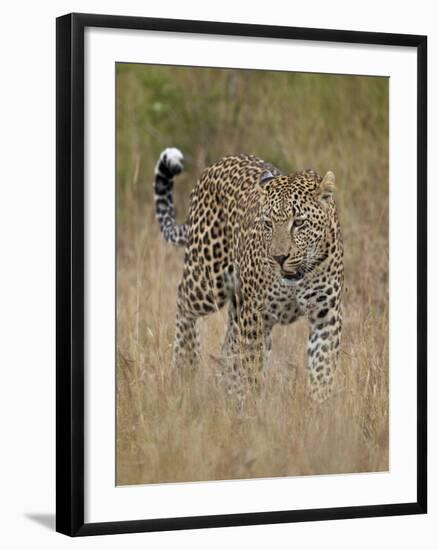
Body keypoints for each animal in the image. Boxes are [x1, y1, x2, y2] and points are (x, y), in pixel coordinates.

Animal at [152, 149, 344, 404]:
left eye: (299, 223)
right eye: (268, 224)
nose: (279, 257)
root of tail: (216, 164)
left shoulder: (326, 315)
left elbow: (322, 369)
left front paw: (320, 407)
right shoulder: (255, 314)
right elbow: (251, 367)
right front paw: (253, 406)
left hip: (237, 305)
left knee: (229, 348)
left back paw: (229, 395)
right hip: (208, 280)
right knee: (183, 300)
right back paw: (186, 365)